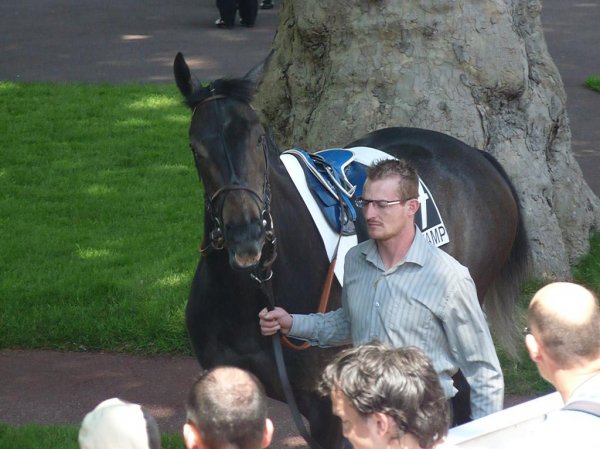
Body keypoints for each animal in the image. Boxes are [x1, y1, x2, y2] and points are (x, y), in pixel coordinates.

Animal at [171, 51, 528, 448]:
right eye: (196, 148)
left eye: (258, 137)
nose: (247, 235)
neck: (256, 293)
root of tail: (477, 155)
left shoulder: (325, 409)